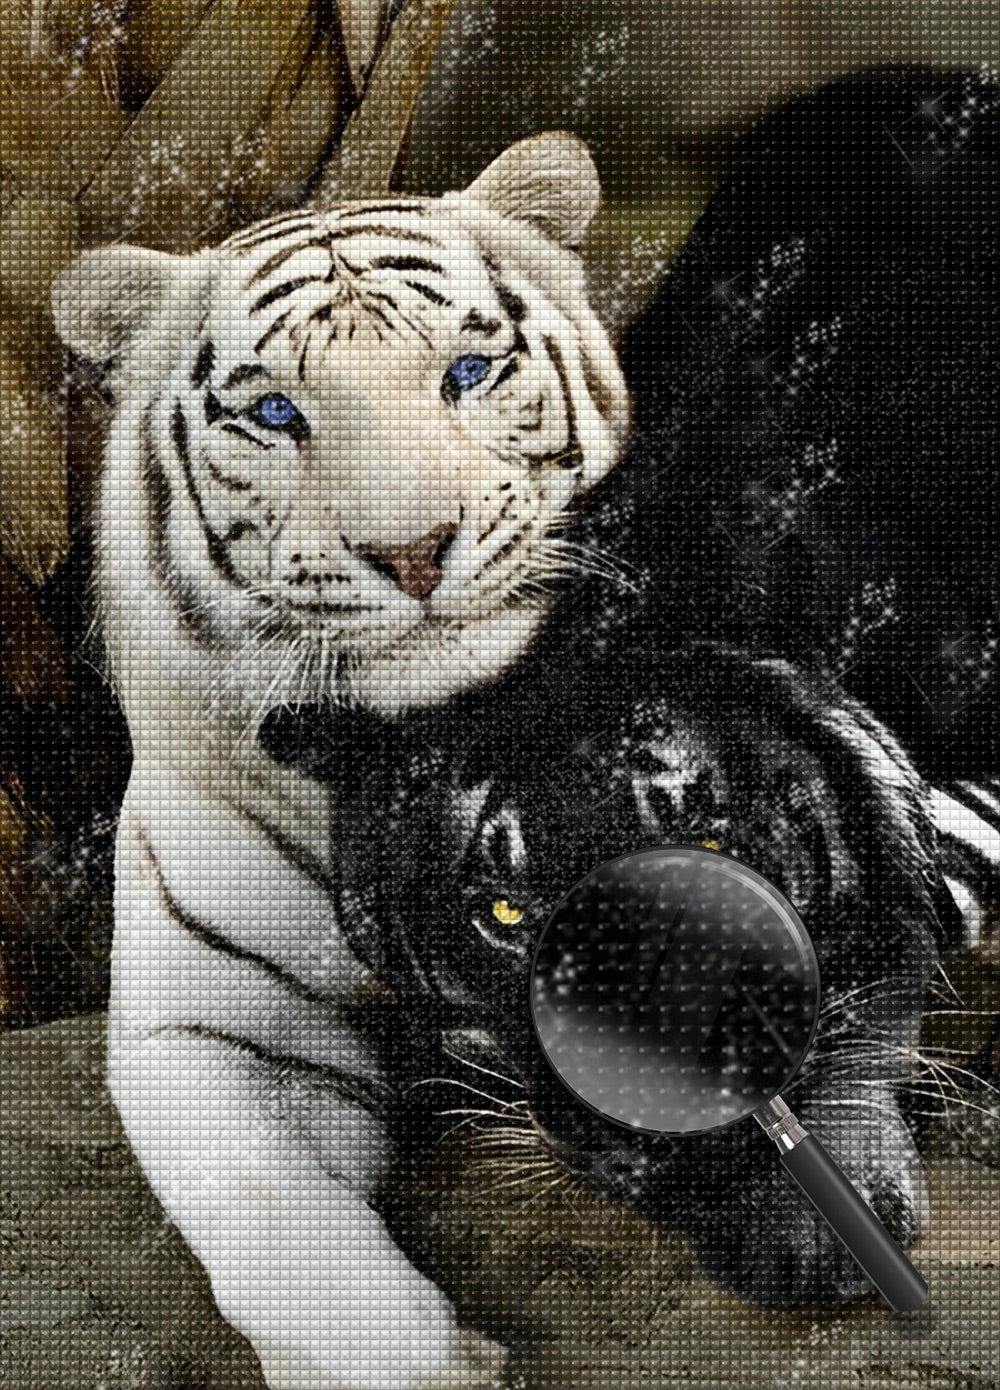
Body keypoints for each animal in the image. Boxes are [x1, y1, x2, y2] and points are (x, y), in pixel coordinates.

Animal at [50, 131, 629, 1390]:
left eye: (468, 371)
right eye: (276, 412)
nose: (412, 550)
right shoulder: (202, 1023)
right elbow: (271, 1219)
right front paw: (428, 1362)